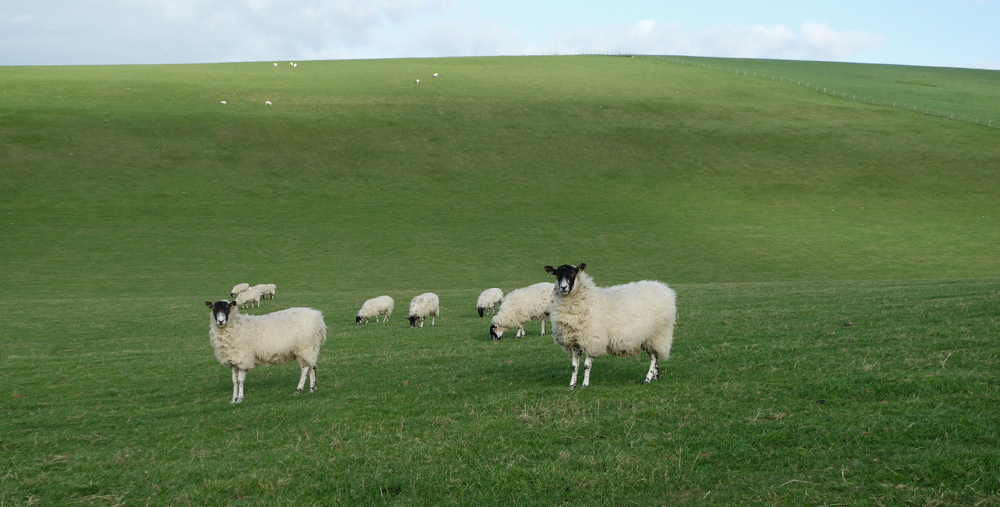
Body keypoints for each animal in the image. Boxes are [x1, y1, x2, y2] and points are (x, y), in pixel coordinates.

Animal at [544, 263, 676, 389]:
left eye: (573, 272)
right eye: (557, 274)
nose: (563, 287)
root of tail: (664, 288)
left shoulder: (594, 340)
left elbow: (586, 366)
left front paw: (585, 385)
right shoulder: (575, 341)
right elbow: (574, 367)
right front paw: (572, 385)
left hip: (657, 334)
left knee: (653, 358)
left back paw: (648, 379)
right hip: (648, 337)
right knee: (654, 356)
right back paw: (655, 377)